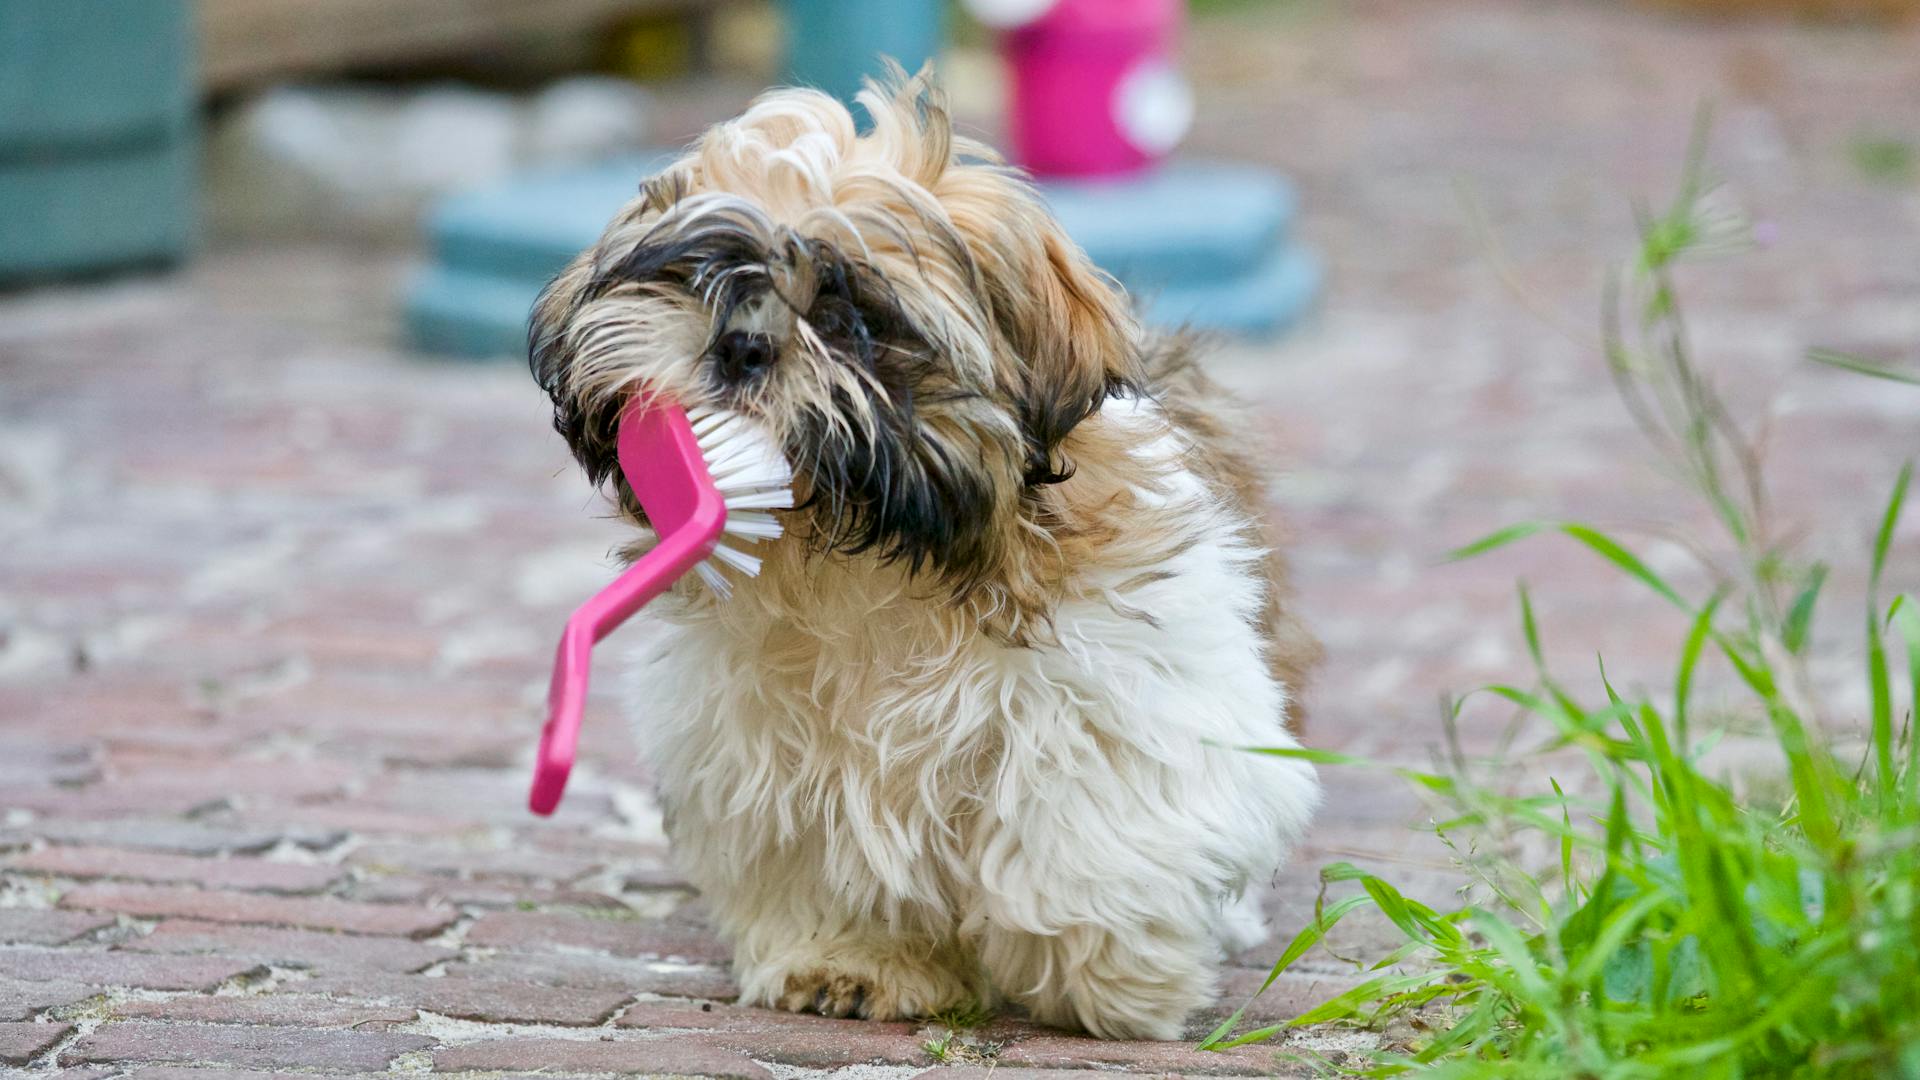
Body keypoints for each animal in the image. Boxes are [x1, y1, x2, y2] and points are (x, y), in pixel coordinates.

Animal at [526, 69, 1320, 1045]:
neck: (855, 553)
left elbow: (1088, 830)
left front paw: (1103, 975)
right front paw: (849, 959)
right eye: (701, 275)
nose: (740, 344)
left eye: (849, 315)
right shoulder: (758, 740)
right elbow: (817, 846)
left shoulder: (1127, 685)